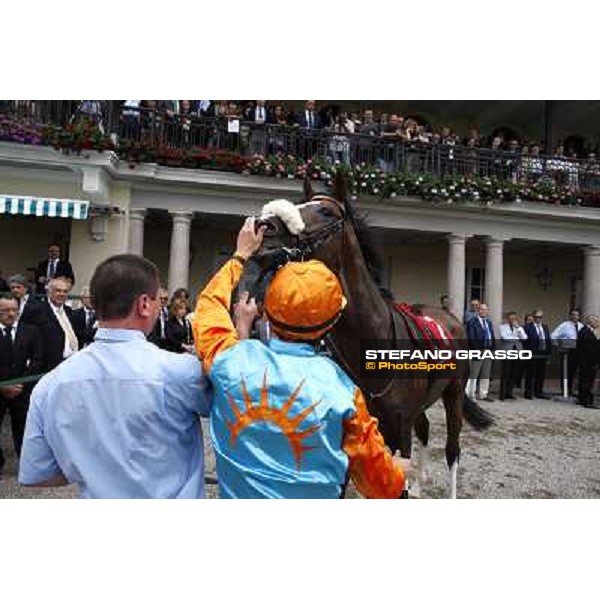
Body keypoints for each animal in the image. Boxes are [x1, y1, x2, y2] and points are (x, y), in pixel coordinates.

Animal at [241, 173, 494, 496]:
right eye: (299, 204)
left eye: (326, 212)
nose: (264, 226)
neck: (375, 339)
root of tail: (452, 318)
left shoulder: (399, 430)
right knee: (424, 428)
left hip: (454, 393)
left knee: (452, 450)